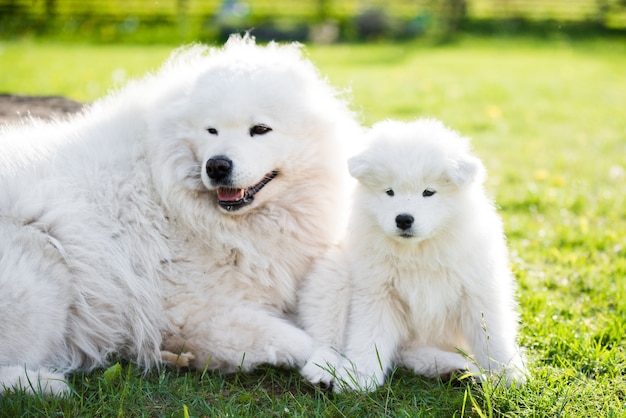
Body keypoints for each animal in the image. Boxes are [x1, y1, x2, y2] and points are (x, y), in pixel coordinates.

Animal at [0, 35, 356, 396]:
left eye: (260, 129)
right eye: (211, 130)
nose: (216, 165)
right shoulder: (195, 316)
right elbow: (299, 340)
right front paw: (328, 364)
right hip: (44, 265)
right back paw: (45, 384)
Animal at [300, 117, 524, 392]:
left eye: (428, 192)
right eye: (389, 191)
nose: (404, 219)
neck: (419, 251)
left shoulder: (477, 292)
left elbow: (491, 336)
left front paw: (508, 375)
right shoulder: (377, 293)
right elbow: (368, 337)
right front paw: (358, 378)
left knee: (409, 354)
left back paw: (455, 368)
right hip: (333, 279)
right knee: (327, 338)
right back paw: (322, 371)